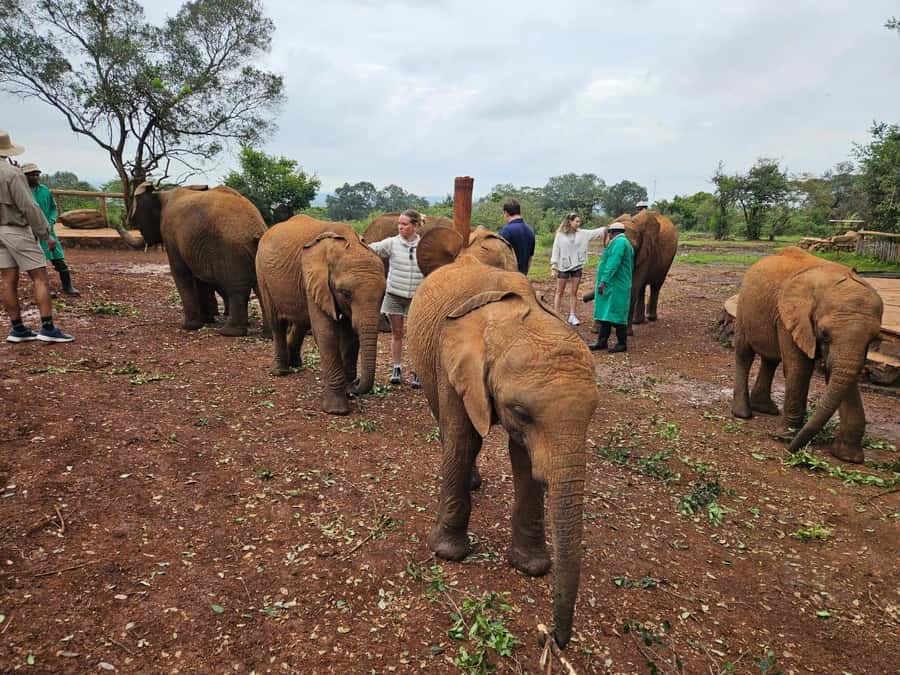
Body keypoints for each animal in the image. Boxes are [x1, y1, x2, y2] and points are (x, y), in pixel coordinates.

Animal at [116, 184, 266, 336]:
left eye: (137, 224)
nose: (116, 224)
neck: (162, 193)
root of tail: (257, 231)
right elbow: (201, 278)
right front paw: (206, 321)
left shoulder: (170, 233)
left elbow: (180, 272)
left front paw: (189, 327)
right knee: (260, 289)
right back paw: (266, 333)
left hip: (231, 251)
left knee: (236, 289)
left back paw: (228, 332)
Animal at [255, 215, 386, 415]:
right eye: (345, 293)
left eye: (383, 295)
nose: (356, 384)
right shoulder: (313, 278)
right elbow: (326, 333)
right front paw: (336, 410)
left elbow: (350, 335)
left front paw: (348, 392)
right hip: (261, 273)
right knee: (277, 322)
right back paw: (279, 372)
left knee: (301, 322)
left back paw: (296, 364)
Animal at [407, 255, 599, 649]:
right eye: (522, 412)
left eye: (593, 412)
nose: (551, 639)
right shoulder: (452, 362)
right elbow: (463, 440)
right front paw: (447, 553)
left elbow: (526, 462)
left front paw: (531, 567)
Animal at [731, 247, 884, 463]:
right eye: (825, 335)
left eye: (873, 340)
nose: (789, 453)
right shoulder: (789, 317)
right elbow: (799, 368)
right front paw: (785, 437)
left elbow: (840, 373)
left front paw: (848, 457)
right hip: (744, 307)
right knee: (745, 354)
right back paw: (743, 414)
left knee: (771, 360)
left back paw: (766, 409)